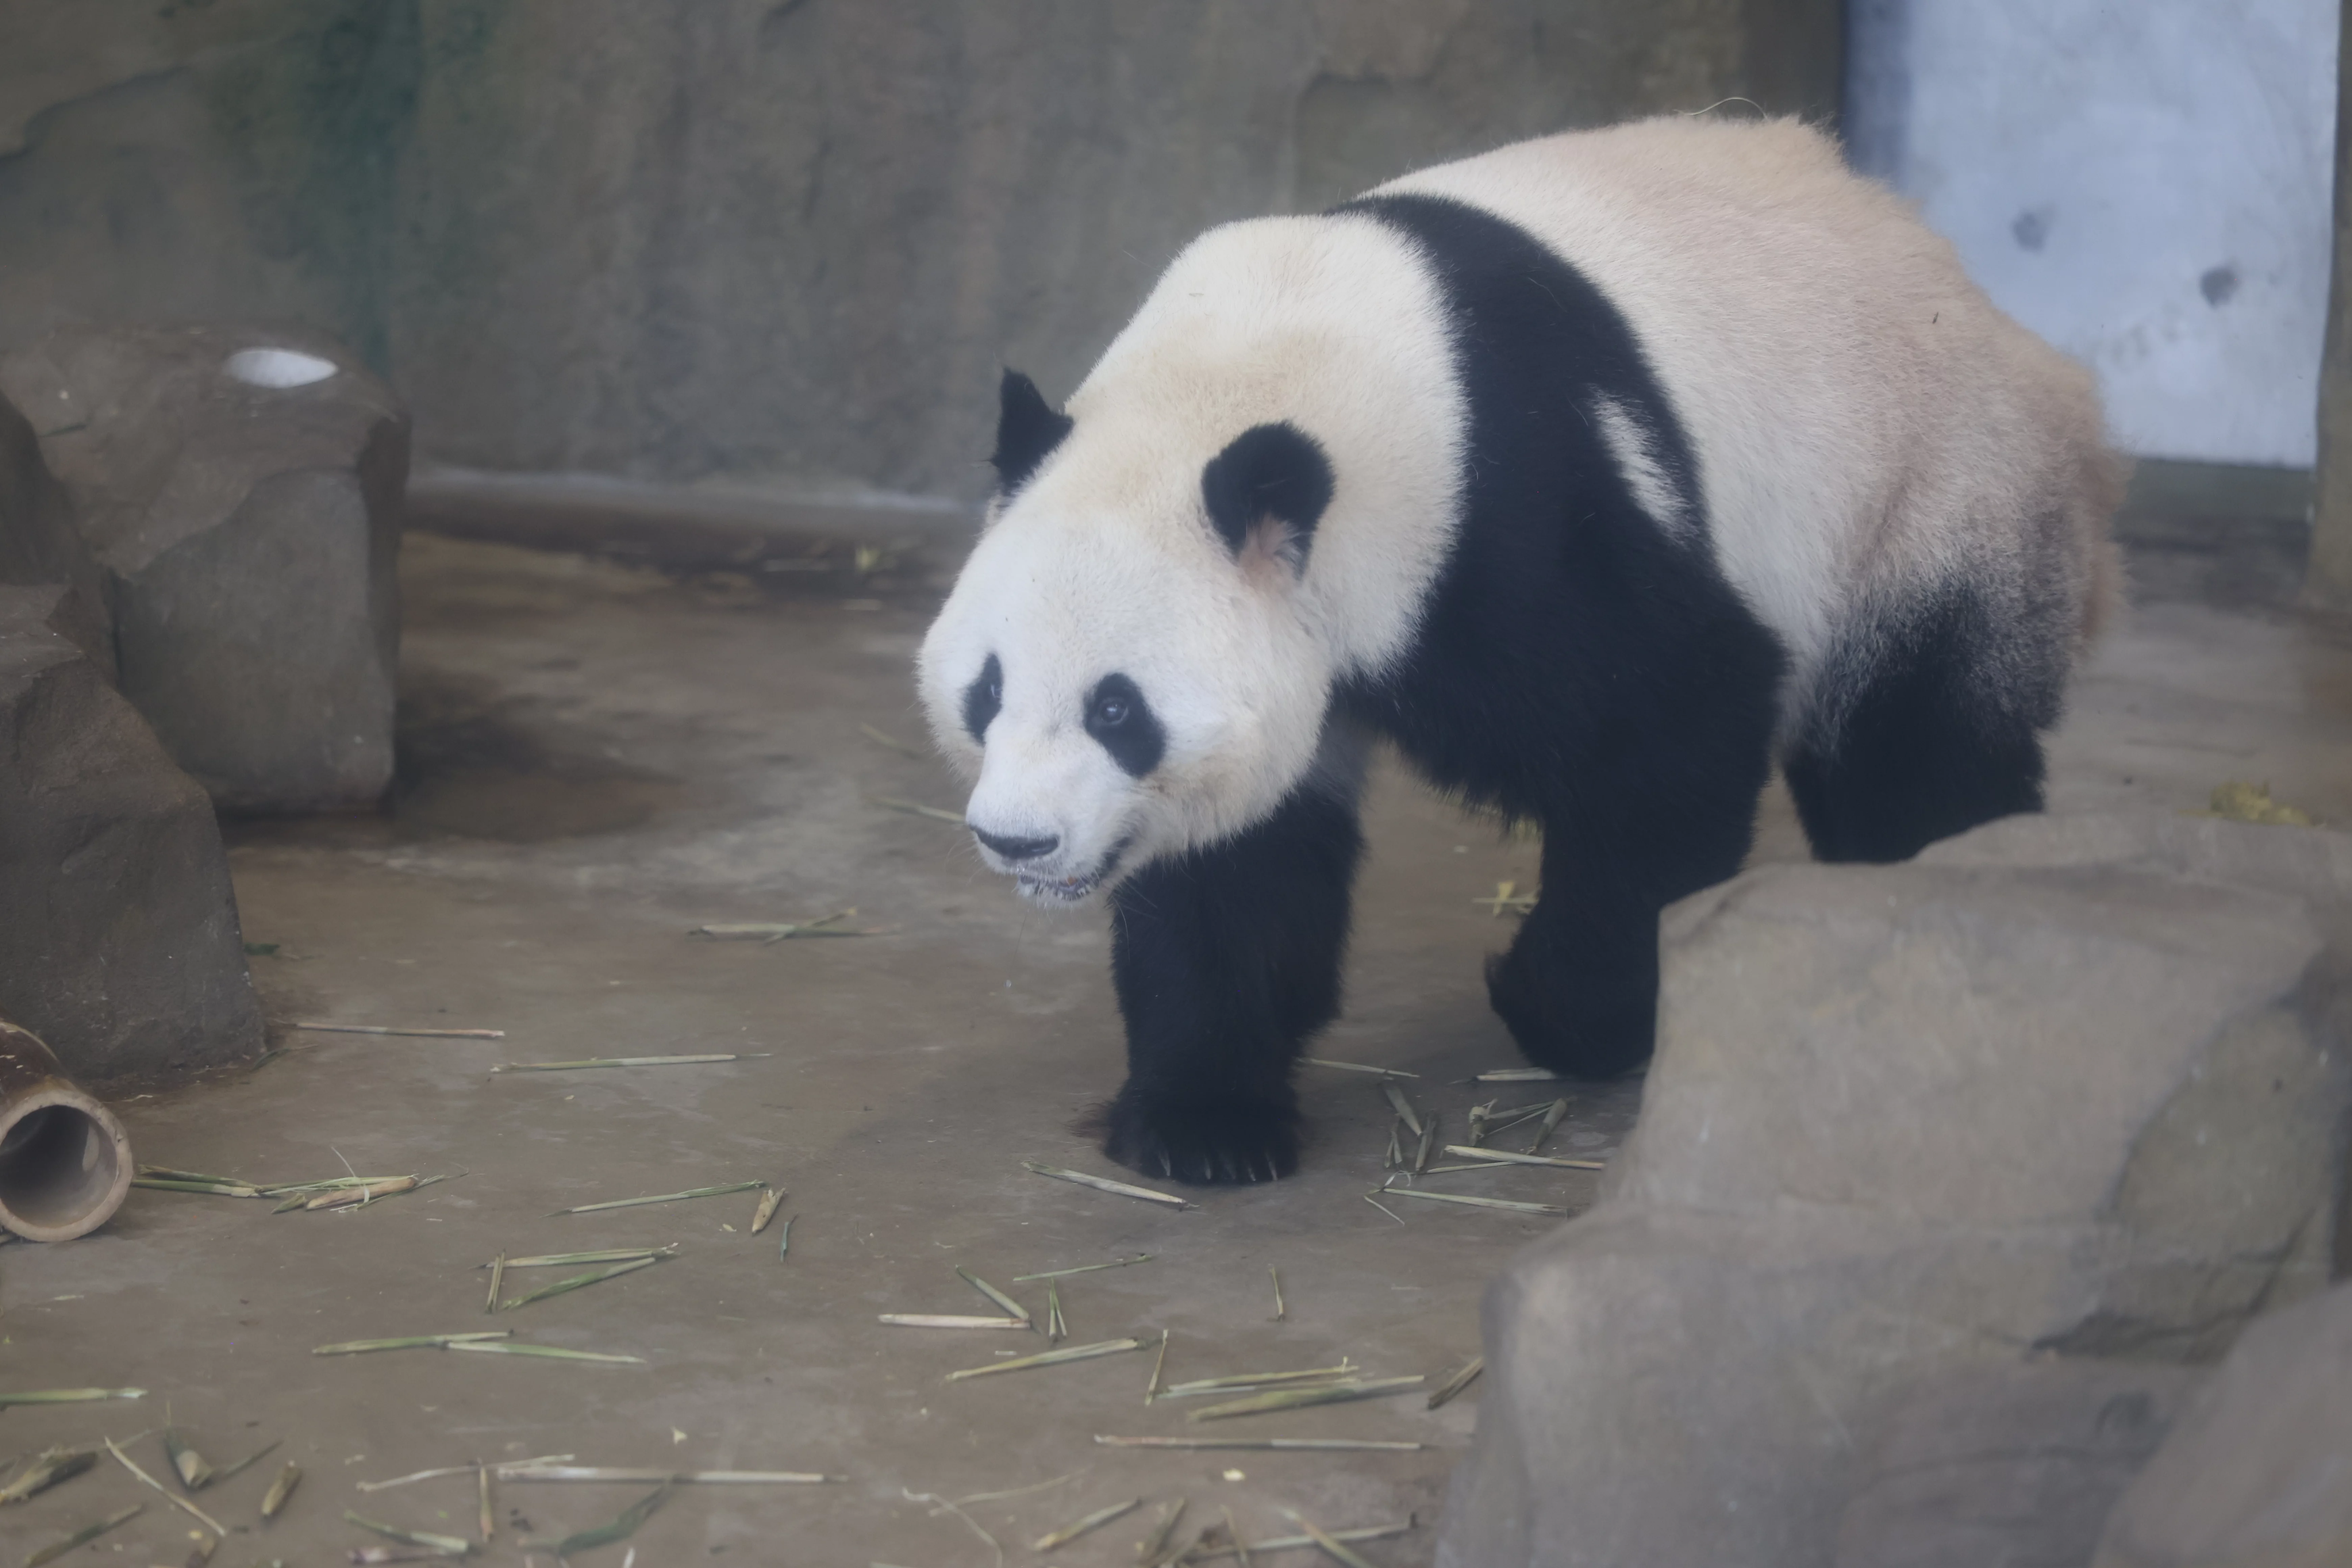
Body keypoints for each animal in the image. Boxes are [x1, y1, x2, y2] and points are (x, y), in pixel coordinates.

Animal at [916, 115, 2122, 1186]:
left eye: (1117, 708)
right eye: (987, 689)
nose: (1019, 840)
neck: (1254, 371)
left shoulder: (1514, 511)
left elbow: (1668, 728)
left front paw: (1561, 1007)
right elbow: (1239, 860)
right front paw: (1204, 1122)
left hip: (1933, 494)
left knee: (1913, 751)